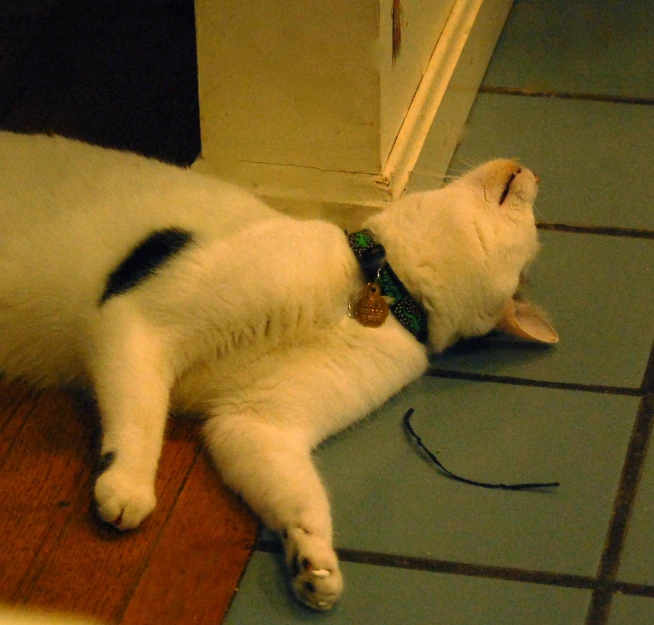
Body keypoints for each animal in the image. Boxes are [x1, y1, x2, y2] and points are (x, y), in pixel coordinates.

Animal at [0, 133, 560, 608]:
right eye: (528, 211)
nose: (532, 169)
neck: (375, 296)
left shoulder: (255, 422)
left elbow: (301, 496)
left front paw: (314, 562)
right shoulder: (137, 322)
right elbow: (142, 418)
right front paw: (128, 485)